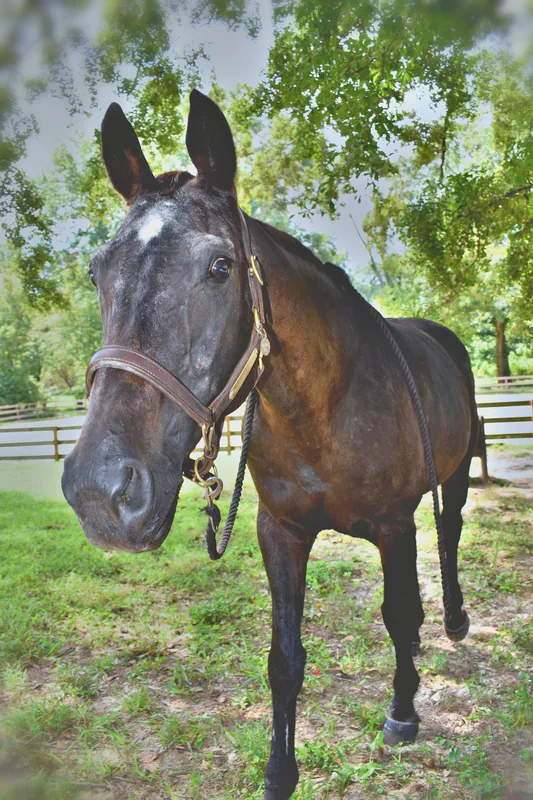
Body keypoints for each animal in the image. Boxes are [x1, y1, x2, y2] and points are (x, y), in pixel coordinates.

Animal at [62, 89, 477, 800]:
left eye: (220, 267)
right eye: (96, 273)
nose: (99, 491)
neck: (326, 406)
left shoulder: (394, 525)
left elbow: (397, 614)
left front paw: (402, 712)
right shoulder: (280, 531)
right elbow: (284, 658)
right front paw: (280, 771)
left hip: (454, 475)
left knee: (447, 537)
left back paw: (451, 621)